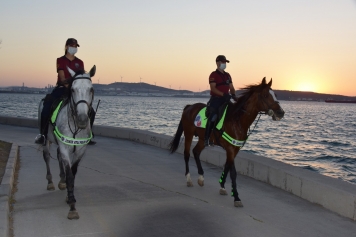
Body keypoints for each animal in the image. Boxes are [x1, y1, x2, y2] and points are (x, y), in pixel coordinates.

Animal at [41, 65, 96, 220]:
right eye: (72, 89)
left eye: (91, 89)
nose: (82, 119)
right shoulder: (65, 148)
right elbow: (70, 175)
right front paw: (72, 205)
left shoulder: (80, 150)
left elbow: (73, 172)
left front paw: (68, 195)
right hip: (46, 140)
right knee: (47, 157)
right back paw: (50, 182)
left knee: (58, 157)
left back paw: (61, 181)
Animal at [169, 77, 284, 206]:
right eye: (265, 95)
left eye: (275, 94)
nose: (281, 113)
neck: (237, 120)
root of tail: (189, 106)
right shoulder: (230, 148)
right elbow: (233, 172)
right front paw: (236, 197)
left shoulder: (235, 148)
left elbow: (227, 166)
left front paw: (222, 186)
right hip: (188, 134)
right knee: (187, 154)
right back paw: (189, 179)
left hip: (203, 138)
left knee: (196, 152)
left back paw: (201, 178)